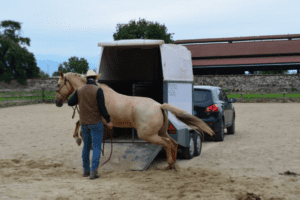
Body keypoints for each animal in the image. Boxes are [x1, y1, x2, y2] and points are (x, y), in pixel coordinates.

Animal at [55, 71, 214, 170]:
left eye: (57, 85)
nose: (57, 102)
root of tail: (159, 105)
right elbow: (78, 123)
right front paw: (79, 139)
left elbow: (79, 124)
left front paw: (77, 138)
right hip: (160, 132)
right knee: (173, 143)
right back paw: (173, 164)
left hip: (147, 135)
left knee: (167, 143)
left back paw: (169, 164)